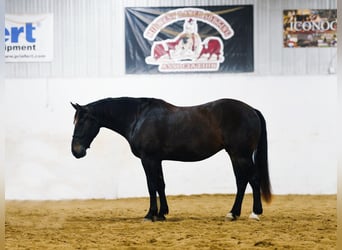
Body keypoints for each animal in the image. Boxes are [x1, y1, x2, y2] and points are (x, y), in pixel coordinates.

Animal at [71, 97, 272, 221]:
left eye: (82, 122)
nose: (76, 151)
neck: (138, 118)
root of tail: (251, 110)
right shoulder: (157, 160)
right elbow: (161, 184)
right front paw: (162, 214)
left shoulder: (148, 159)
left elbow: (151, 185)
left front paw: (150, 214)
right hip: (235, 155)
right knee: (242, 181)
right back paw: (233, 213)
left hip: (241, 155)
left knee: (253, 179)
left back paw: (255, 213)